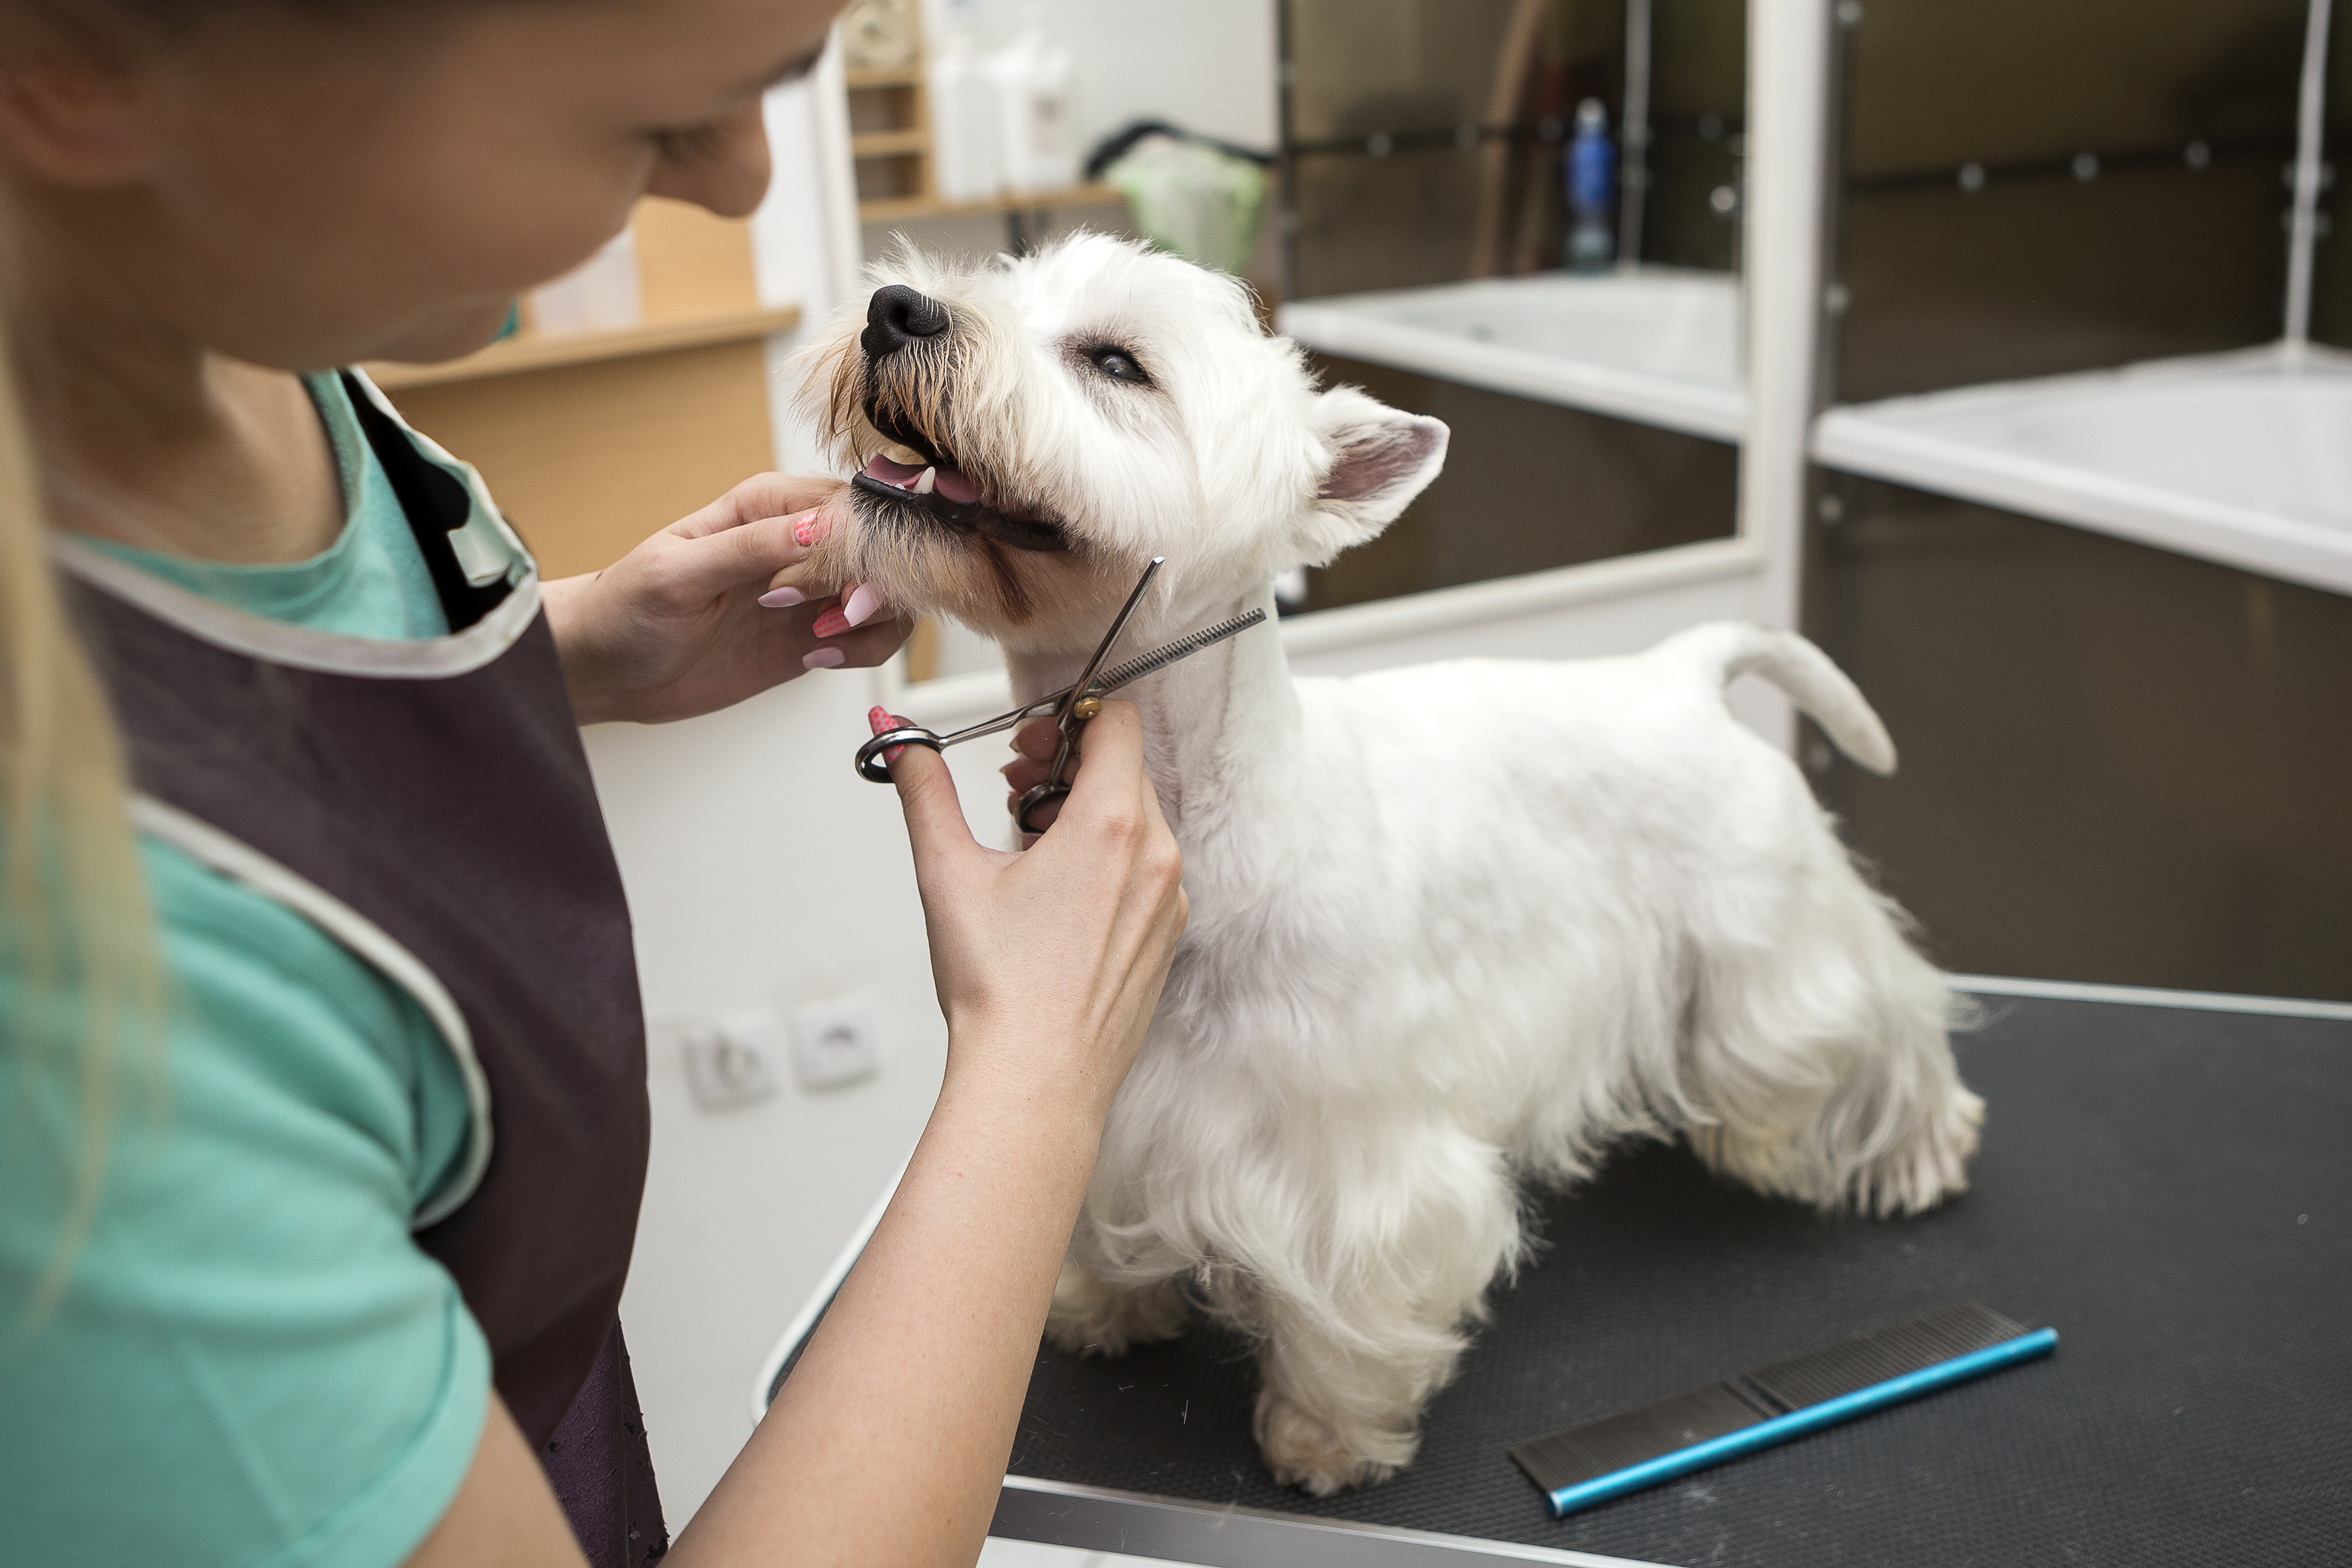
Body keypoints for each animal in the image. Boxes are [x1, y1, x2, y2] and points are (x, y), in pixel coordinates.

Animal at [795, 233, 1985, 1495]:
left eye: (1115, 361)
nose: (894, 310)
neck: (1198, 793)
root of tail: (1682, 668)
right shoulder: (1094, 1087)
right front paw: (1101, 1309)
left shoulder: (1354, 1162)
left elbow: (1348, 1308)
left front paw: (1322, 1439)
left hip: (1778, 944)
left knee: (1884, 1023)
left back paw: (1919, 1150)